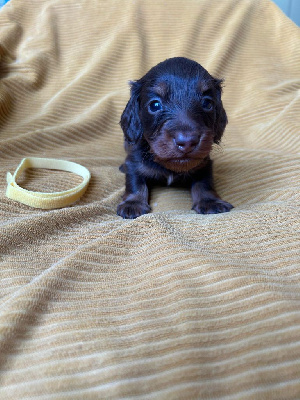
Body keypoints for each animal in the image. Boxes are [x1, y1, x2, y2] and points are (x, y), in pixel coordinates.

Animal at [116, 56, 232, 219]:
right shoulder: (134, 160)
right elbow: (135, 181)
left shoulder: (204, 162)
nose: (187, 142)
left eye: (207, 103)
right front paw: (133, 203)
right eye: (155, 105)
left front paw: (210, 201)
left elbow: (204, 182)